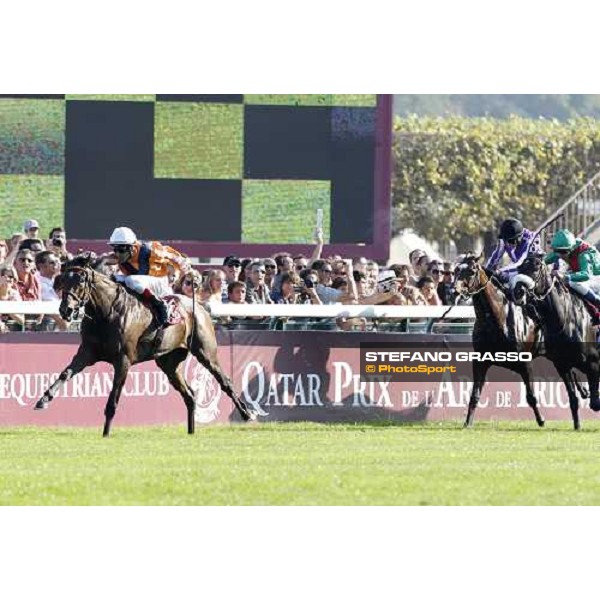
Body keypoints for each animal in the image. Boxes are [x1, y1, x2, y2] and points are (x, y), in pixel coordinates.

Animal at [34, 253, 255, 436]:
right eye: (62, 280)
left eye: (80, 280)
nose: (66, 310)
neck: (106, 313)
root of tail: (199, 306)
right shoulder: (87, 352)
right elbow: (65, 373)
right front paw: (44, 399)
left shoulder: (123, 360)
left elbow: (113, 399)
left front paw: (106, 433)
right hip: (169, 363)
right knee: (190, 395)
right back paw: (191, 431)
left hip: (206, 352)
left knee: (225, 382)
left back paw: (246, 414)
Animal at [454, 253, 548, 426]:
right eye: (456, 270)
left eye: (471, 271)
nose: (454, 291)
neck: (498, 318)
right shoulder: (480, 361)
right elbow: (474, 395)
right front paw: (468, 422)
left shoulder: (525, 363)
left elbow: (531, 396)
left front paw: (541, 420)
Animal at [510, 253, 600, 432]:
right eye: (520, 267)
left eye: (536, 268)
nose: (518, 292)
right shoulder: (562, 365)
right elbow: (573, 398)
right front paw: (577, 425)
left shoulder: (593, 363)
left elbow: (595, 403)